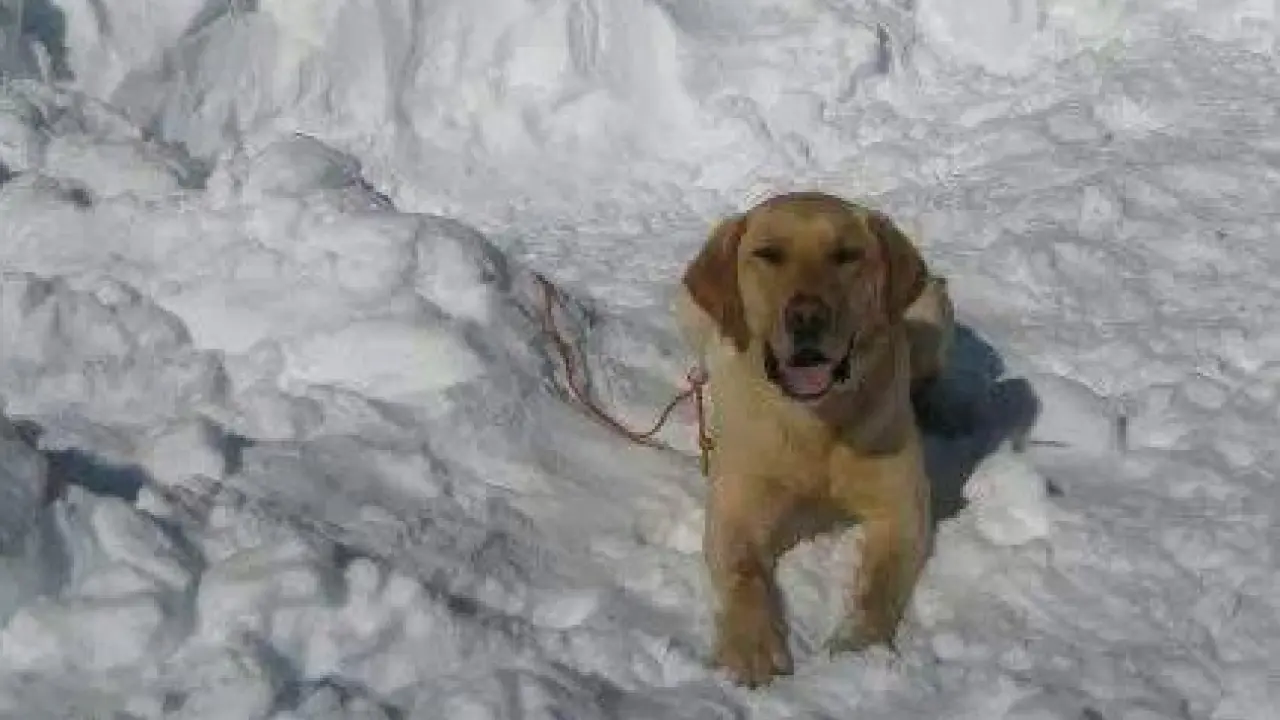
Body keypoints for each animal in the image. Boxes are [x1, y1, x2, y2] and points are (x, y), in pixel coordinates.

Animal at [674, 191, 954, 687]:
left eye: (846, 255)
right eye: (768, 254)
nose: (807, 317)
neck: (816, 425)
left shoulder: (903, 514)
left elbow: (878, 588)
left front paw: (858, 649)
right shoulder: (736, 514)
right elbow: (745, 577)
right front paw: (752, 648)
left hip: (932, 310)